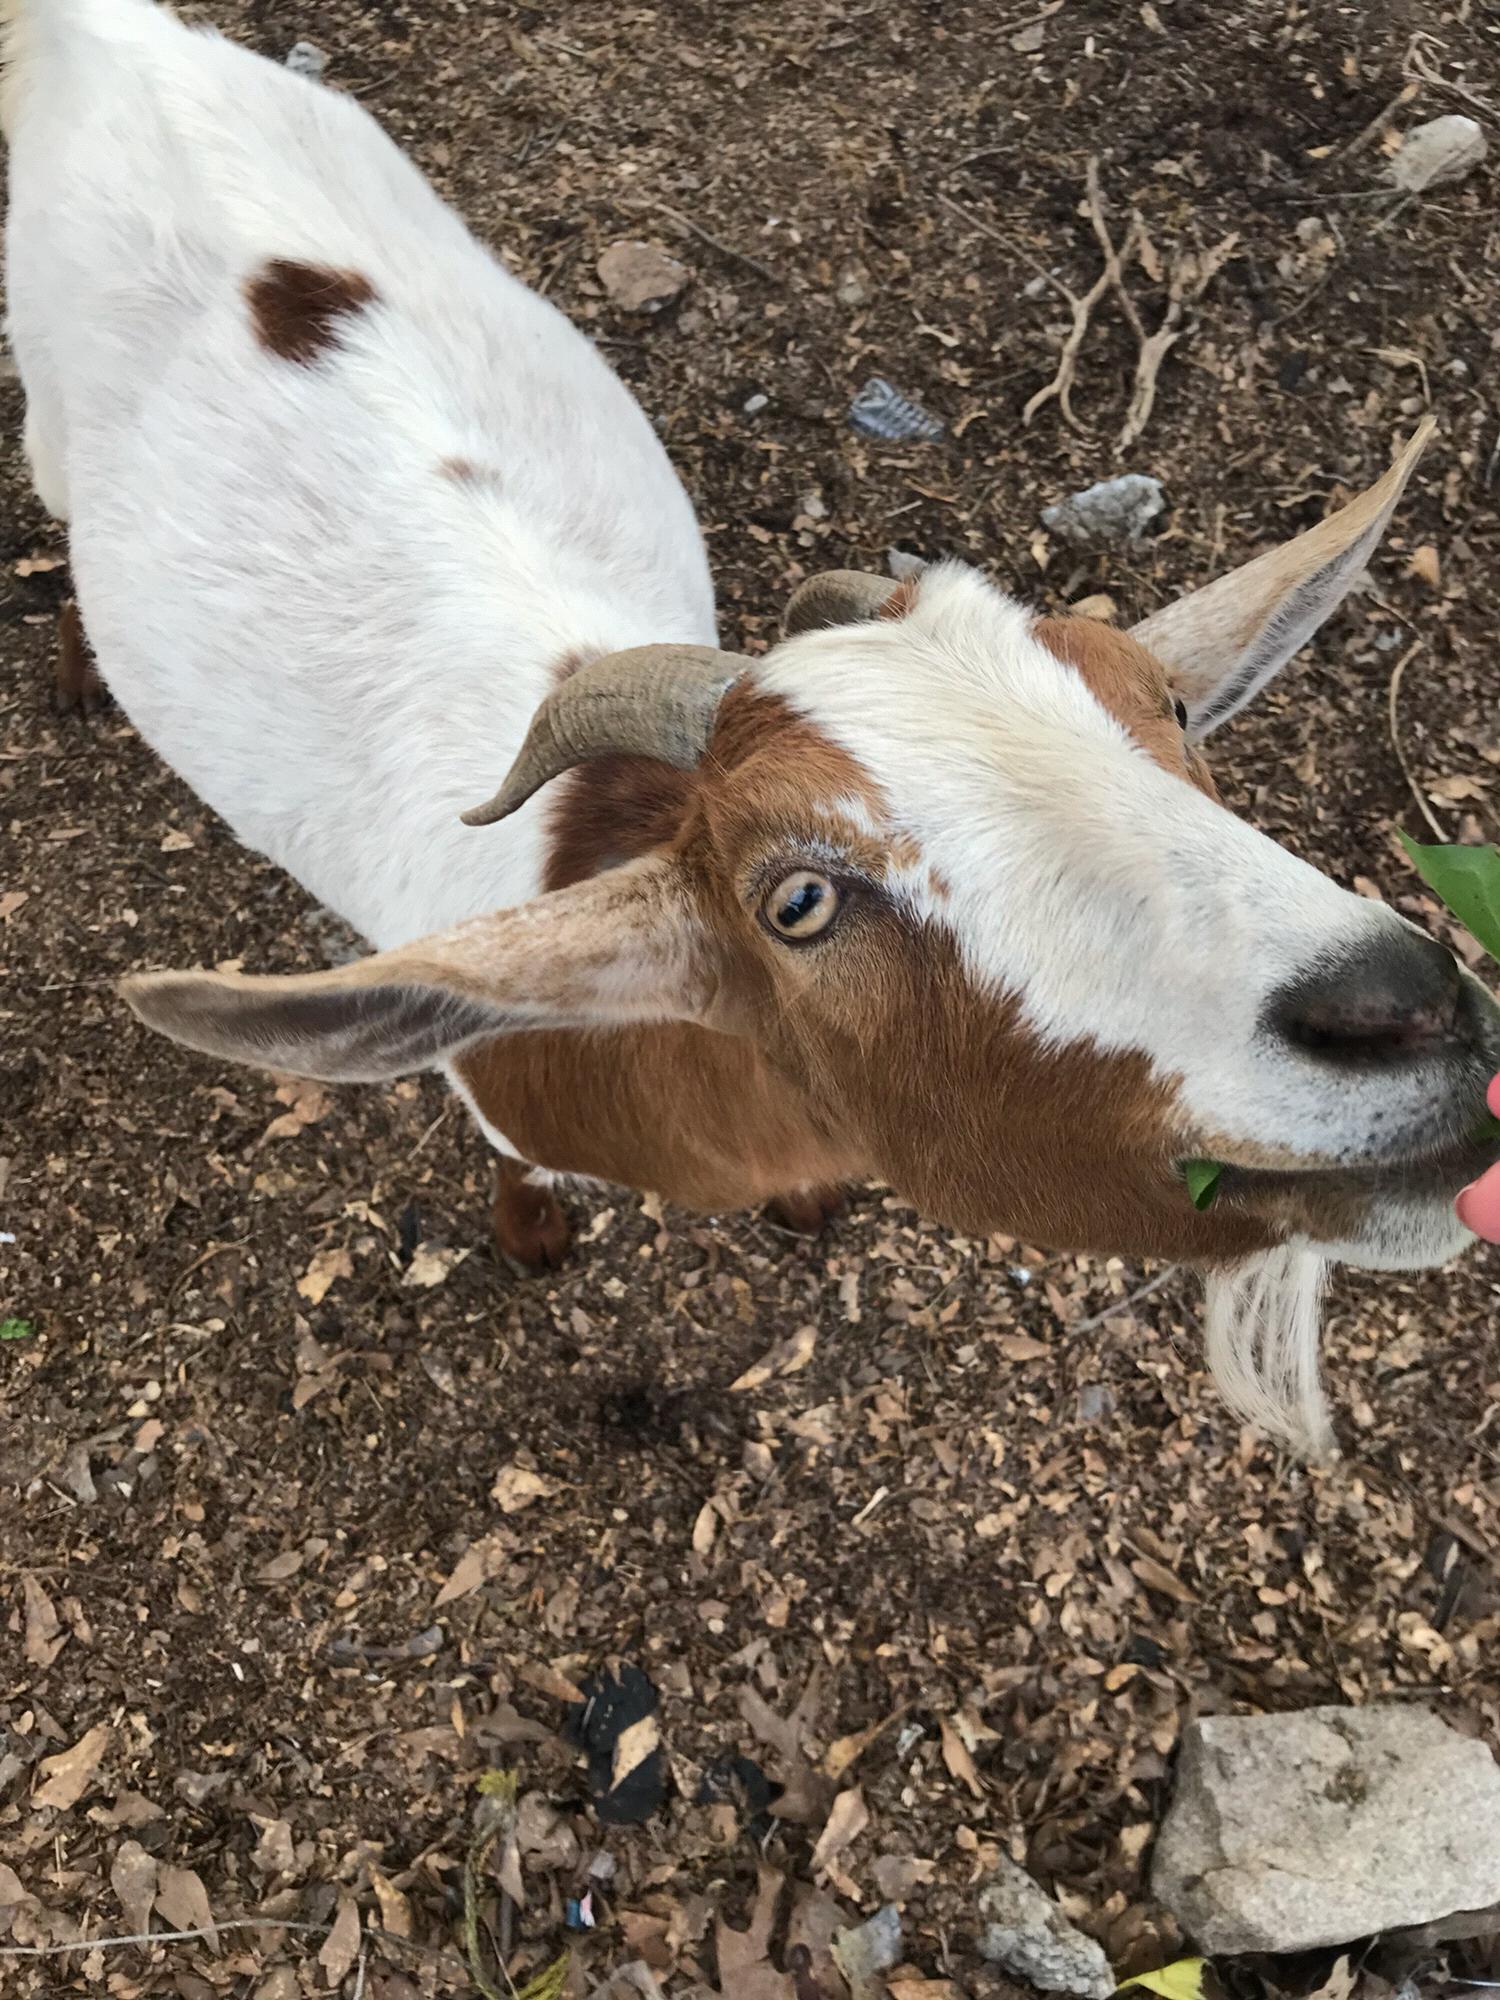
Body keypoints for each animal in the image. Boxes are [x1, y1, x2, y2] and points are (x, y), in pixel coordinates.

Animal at [6, 0, 1498, 1455]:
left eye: (1171, 708)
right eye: (797, 902)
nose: (1404, 1009)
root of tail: (112, 34)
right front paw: (531, 1231)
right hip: (49, 410)